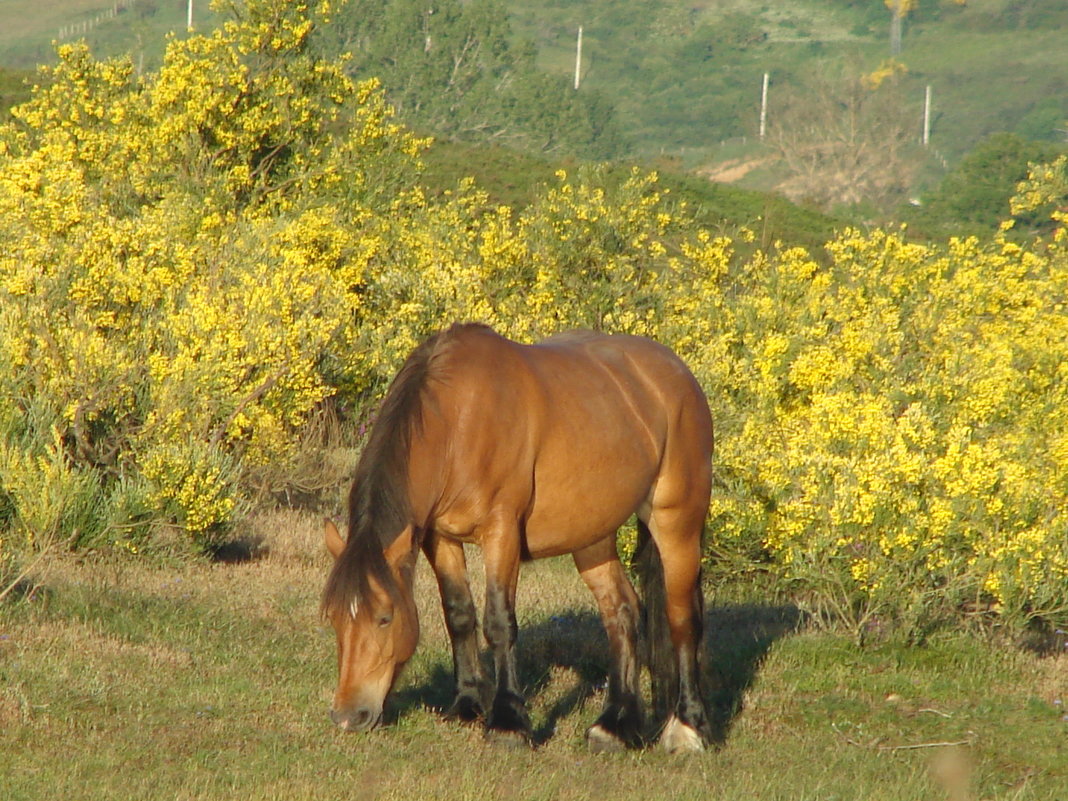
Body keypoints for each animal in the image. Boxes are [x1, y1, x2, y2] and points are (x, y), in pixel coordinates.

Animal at [320, 322, 713, 756]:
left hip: (676, 521)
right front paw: (467, 704)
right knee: (622, 612)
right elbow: (459, 614)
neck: (457, 422)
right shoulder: (440, 538)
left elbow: (499, 622)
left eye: (385, 617)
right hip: (592, 536)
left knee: (682, 618)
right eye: (334, 618)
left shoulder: (501, 531)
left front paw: (508, 722)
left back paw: (688, 727)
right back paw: (614, 725)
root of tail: (676, 373)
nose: (347, 716)